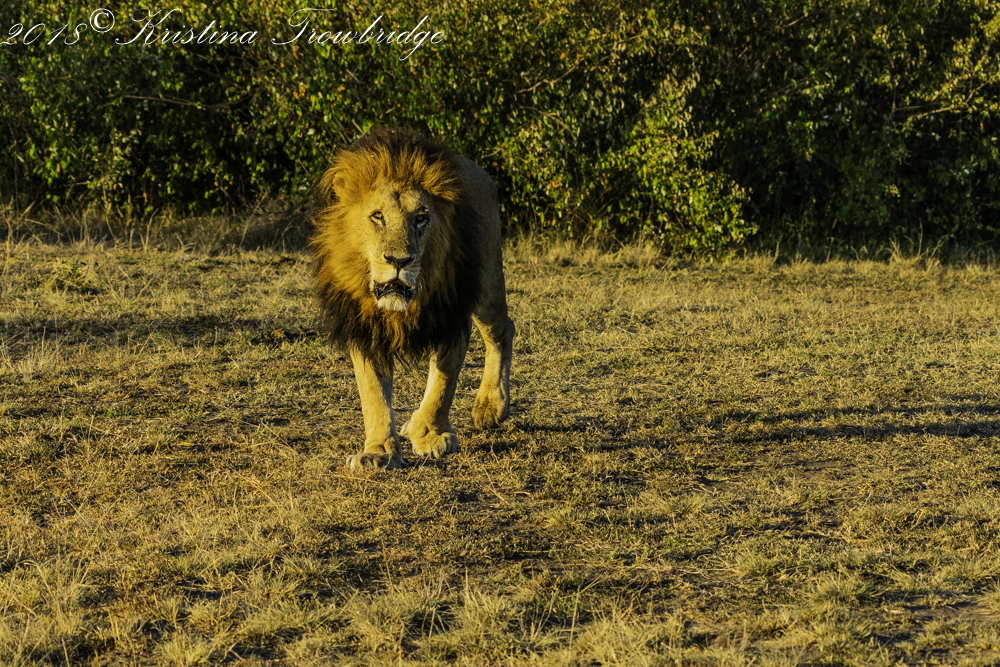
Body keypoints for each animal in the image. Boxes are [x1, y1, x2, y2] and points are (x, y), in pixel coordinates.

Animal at [311, 128, 515, 470]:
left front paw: (432, 434)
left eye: (421, 217)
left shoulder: (451, 313)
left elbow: (443, 384)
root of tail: (475, 167)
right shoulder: (364, 325)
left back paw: (490, 406)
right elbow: (373, 394)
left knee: (502, 331)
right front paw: (378, 451)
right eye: (377, 216)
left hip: (487, 285)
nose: (399, 260)